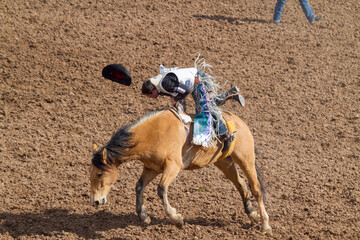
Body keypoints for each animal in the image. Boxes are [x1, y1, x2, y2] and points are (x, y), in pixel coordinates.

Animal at [90, 108, 272, 232]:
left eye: (100, 174)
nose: (96, 201)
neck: (152, 134)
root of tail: (238, 121)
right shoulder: (152, 168)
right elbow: (139, 187)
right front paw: (143, 216)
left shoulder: (173, 166)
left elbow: (161, 189)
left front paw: (176, 218)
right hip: (224, 162)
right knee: (241, 183)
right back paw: (252, 214)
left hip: (246, 159)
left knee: (255, 188)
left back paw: (265, 224)